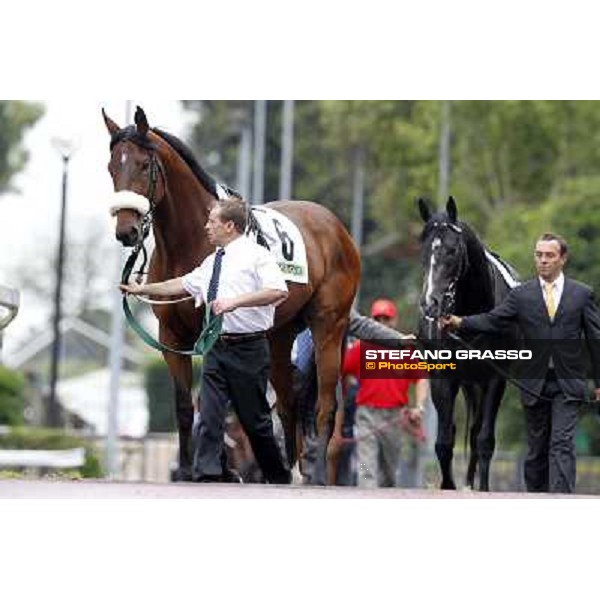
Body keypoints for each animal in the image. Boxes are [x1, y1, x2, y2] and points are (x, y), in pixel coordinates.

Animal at [102, 105, 360, 480]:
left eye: (143, 165)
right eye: (111, 167)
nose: (127, 231)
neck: (193, 239)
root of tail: (337, 228)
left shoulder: (212, 329)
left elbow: (215, 401)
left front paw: (219, 469)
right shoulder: (172, 335)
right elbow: (186, 405)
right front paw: (189, 470)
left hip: (329, 326)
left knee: (326, 403)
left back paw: (314, 474)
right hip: (279, 333)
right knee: (287, 400)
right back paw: (285, 471)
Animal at [418, 197, 520, 492]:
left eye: (452, 251)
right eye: (424, 250)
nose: (431, 304)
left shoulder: (495, 379)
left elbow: (484, 439)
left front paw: (482, 487)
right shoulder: (442, 378)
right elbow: (444, 441)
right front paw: (447, 485)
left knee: (476, 433)